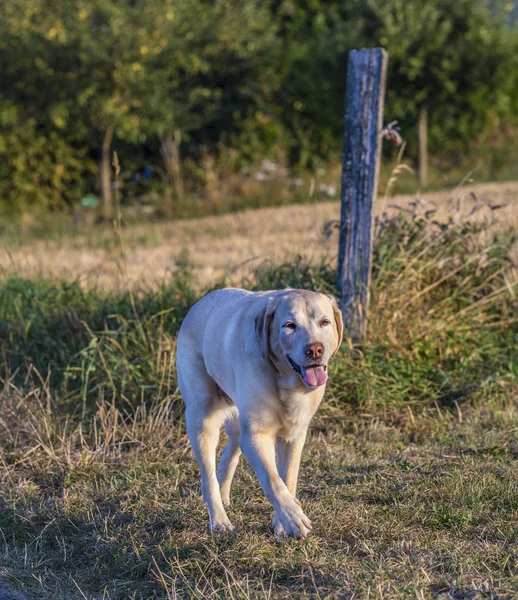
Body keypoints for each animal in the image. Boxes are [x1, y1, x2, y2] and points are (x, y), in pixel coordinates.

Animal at [177, 288, 344, 540]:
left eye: (325, 322)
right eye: (289, 325)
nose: (315, 350)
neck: (285, 382)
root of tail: (198, 303)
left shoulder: (294, 436)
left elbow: (288, 479)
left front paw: (283, 523)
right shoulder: (257, 436)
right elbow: (273, 481)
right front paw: (294, 519)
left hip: (237, 421)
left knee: (230, 452)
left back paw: (224, 495)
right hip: (202, 419)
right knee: (208, 479)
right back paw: (219, 520)